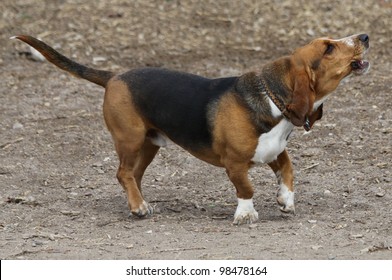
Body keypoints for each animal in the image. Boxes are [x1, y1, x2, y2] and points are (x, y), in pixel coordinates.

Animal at [10, 34, 370, 224]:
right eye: (328, 48)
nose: (364, 37)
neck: (271, 96)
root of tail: (114, 76)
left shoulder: (274, 152)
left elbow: (289, 171)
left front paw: (285, 200)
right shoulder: (235, 164)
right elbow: (247, 189)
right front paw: (245, 214)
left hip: (149, 145)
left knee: (131, 176)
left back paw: (138, 202)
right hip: (130, 139)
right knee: (123, 173)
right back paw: (138, 207)